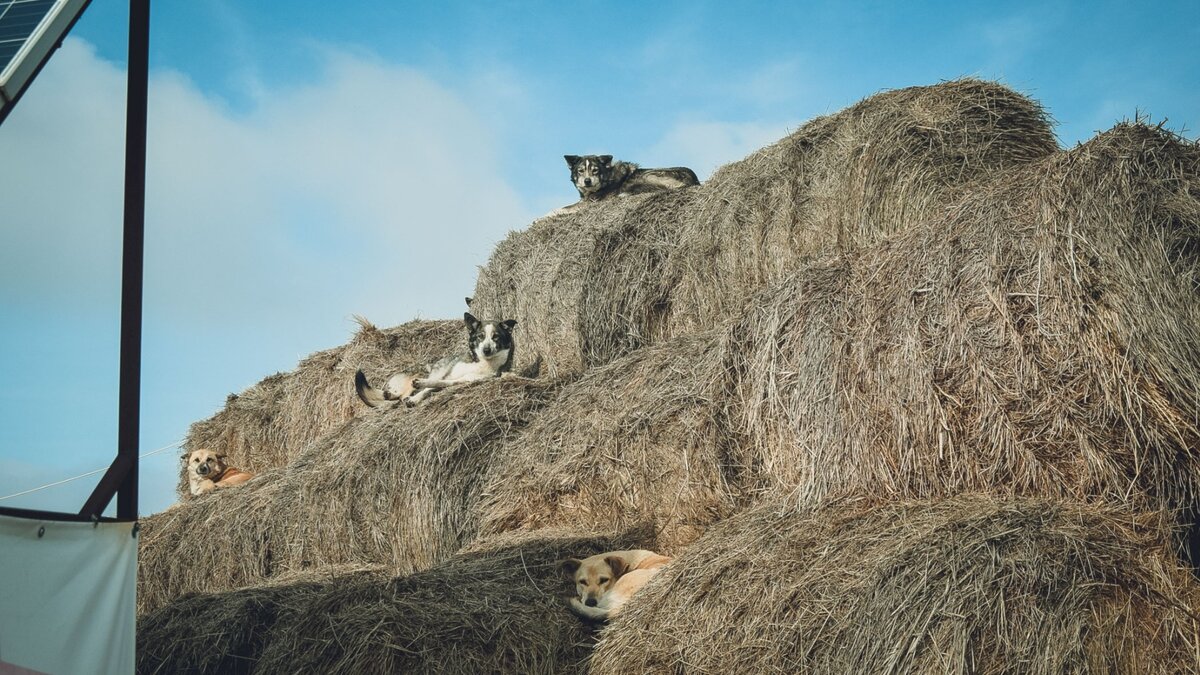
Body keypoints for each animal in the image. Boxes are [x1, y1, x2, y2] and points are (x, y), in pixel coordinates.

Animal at [350, 309, 513, 403]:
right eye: (480, 336)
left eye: (496, 337)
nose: (486, 350)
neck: (480, 362)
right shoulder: (445, 373)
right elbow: (430, 386)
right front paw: (417, 394)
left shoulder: (463, 380)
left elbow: (437, 385)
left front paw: (417, 395)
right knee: (397, 395)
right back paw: (393, 394)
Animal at [564, 153, 700, 200]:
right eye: (580, 171)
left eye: (595, 170)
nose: (587, 181)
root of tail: (694, 180)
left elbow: (563, 209)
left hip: (648, 175)